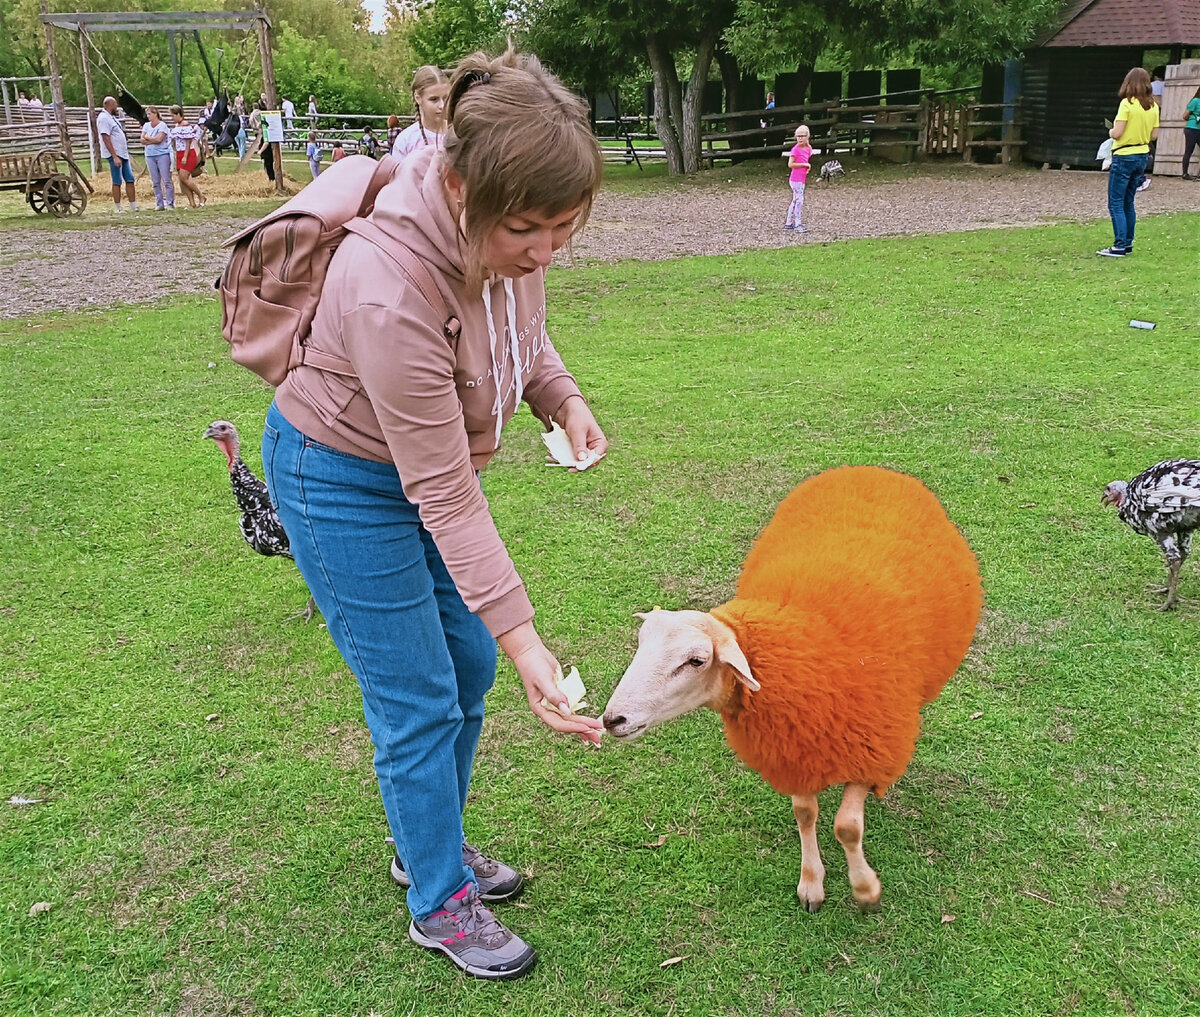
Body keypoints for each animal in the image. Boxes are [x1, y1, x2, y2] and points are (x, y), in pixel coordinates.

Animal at [604, 467, 979, 911]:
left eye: (696, 661)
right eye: (641, 643)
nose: (612, 719)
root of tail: (868, 469)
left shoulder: (870, 745)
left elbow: (847, 827)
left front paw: (865, 889)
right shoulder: (796, 751)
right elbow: (805, 813)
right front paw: (812, 883)